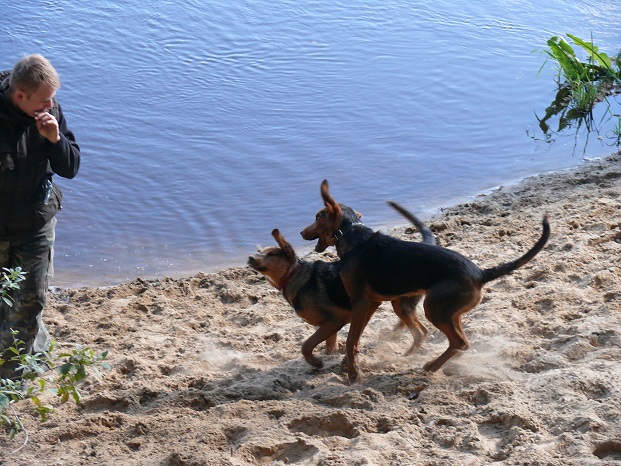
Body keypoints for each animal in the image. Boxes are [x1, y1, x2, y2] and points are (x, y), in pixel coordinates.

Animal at [248, 202, 436, 370]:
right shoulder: (329, 326)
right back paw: (392, 335)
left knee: (420, 331)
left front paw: (316, 363)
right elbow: (329, 347)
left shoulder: (334, 321)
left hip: (400, 304)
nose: (250, 257)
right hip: (398, 302)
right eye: (260, 252)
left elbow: (306, 345)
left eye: (271, 254)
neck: (294, 275)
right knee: (409, 325)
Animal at [300, 179, 548, 382]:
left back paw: (430, 367)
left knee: (458, 342)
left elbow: (352, 340)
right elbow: (356, 339)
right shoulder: (370, 304)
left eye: (317, 216)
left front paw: (353, 374)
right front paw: (349, 367)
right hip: (440, 310)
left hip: (434, 308)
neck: (353, 237)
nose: (301, 233)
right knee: (457, 342)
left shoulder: (361, 302)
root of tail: (480, 273)